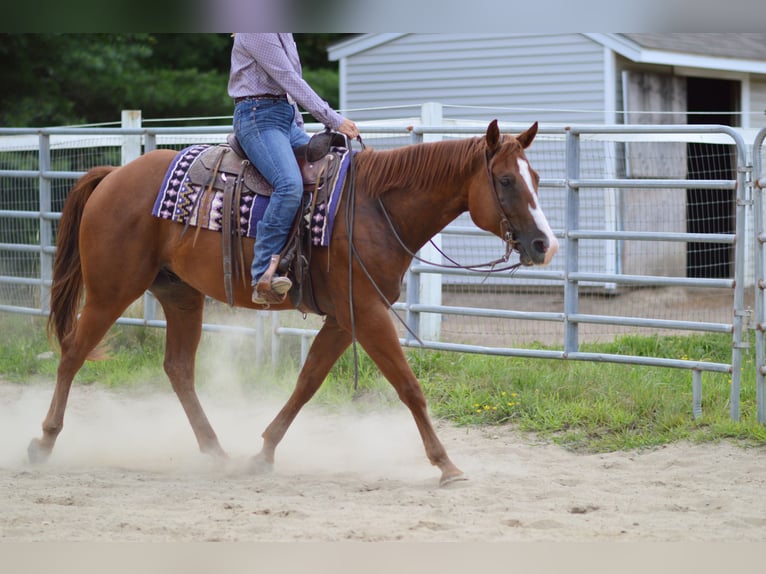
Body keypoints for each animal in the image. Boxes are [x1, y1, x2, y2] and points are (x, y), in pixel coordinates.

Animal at [30, 120, 560, 486]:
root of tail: (114, 174)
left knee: (178, 368)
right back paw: (44, 441)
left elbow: (308, 382)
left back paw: (215, 451)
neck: (373, 206)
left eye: (535, 176)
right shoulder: (368, 314)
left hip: (180, 296)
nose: (544, 245)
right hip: (110, 290)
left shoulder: (346, 319)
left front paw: (263, 452)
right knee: (73, 353)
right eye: (506, 181)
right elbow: (409, 387)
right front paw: (446, 465)